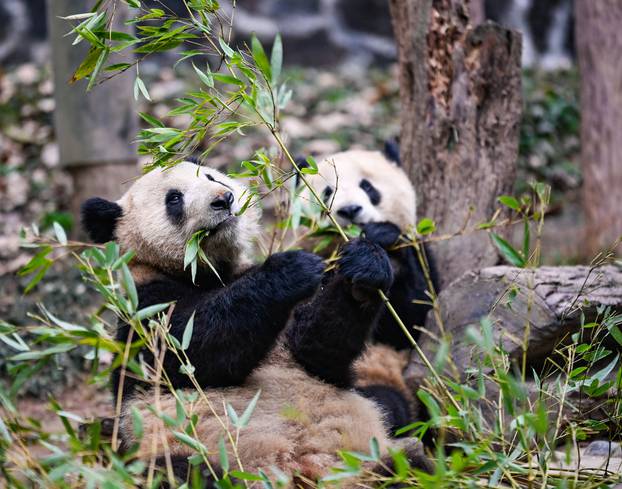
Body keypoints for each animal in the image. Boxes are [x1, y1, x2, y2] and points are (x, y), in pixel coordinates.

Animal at [80, 161, 432, 488]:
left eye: (211, 177)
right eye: (174, 199)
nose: (223, 199)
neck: (206, 271)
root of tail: (301, 473)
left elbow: (316, 349)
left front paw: (365, 267)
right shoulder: (143, 310)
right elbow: (189, 348)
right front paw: (289, 269)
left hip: (369, 459)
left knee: (410, 465)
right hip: (187, 452)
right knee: (183, 472)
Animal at [296, 144, 438, 424]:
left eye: (368, 187)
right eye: (327, 192)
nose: (350, 210)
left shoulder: (420, 253)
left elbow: (415, 317)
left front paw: (377, 248)